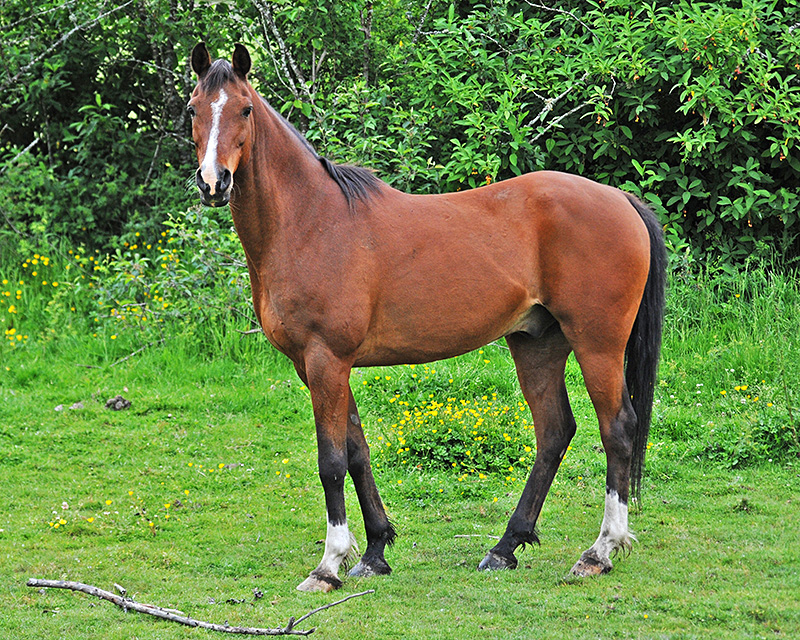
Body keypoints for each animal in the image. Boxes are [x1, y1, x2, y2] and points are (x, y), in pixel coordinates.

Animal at [187, 42, 667, 593]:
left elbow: (331, 461)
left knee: (618, 429)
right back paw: (504, 547)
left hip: (597, 343)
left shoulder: (326, 359)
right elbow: (357, 452)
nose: (213, 182)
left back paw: (600, 551)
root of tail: (621, 199)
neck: (310, 222)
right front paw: (375, 552)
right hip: (537, 343)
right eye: (193, 110)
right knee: (554, 432)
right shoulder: (320, 366)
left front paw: (330, 565)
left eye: (245, 109)